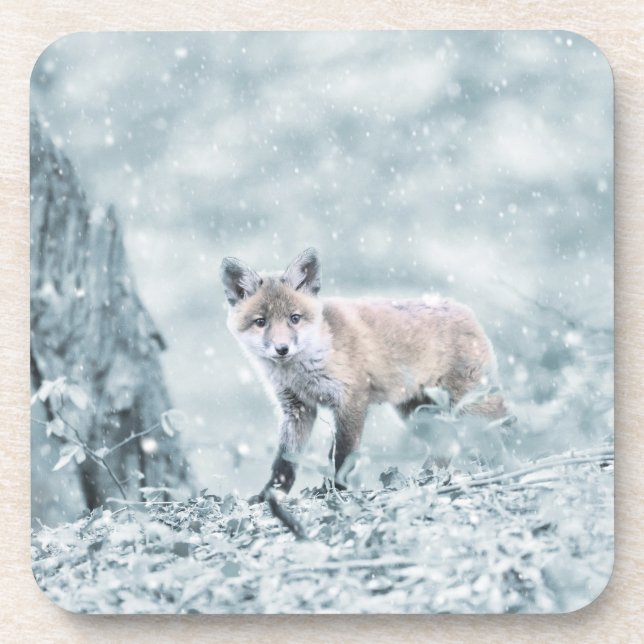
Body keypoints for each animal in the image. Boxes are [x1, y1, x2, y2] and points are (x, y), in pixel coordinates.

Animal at [221, 248, 507, 501]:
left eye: (294, 318)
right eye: (261, 322)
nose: (282, 349)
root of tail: (466, 311)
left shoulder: (351, 399)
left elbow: (342, 455)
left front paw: (334, 490)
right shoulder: (297, 409)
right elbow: (285, 462)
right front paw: (269, 495)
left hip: (467, 407)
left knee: (496, 431)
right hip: (417, 414)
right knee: (445, 445)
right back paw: (425, 479)